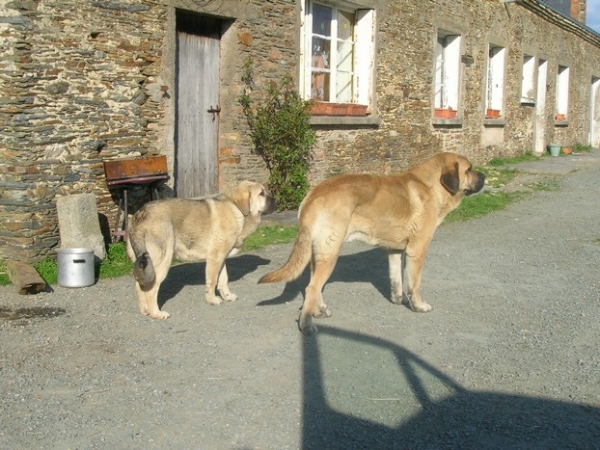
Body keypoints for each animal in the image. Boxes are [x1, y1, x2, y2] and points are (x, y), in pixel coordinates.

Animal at [128, 180, 276, 320]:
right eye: (261, 193)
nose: (277, 201)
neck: (236, 209)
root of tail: (139, 215)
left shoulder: (221, 258)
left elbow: (223, 280)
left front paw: (227, 296)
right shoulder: (214, 259)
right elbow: (212, 282)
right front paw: (212, 300)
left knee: (140, 286)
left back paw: (145, 310)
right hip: (161, 262)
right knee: (151, 289)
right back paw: (156, 313)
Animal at [260, 153, 486, 332]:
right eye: (469, 169)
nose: (484, 176)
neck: (432, 185)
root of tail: (314, 194)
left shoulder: (395, 251)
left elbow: (397, 280)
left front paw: (398, 300)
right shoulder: (417, 250)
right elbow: (414, 285)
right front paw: (419, 306)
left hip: (320, 253)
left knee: (313, 286)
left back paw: (319, 310)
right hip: (330, 253)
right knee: (311, 288)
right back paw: (306, 325)